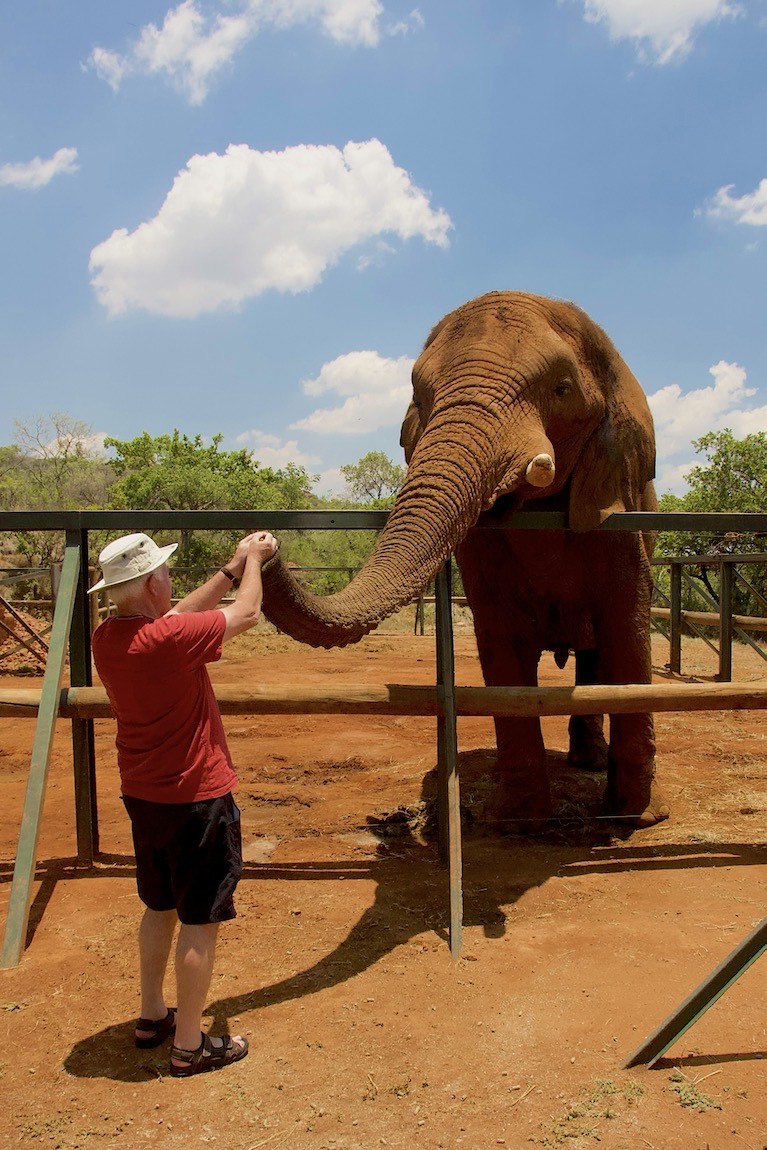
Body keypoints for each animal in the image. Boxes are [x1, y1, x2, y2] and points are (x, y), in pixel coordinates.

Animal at [261, 291, 669, 828]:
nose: (266, 549)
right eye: (420, 396)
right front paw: (522, 819)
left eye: (561, 389)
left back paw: (591, 765)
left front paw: (634, 818)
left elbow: (627, 626)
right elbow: (499, 635)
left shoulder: (617, 500)